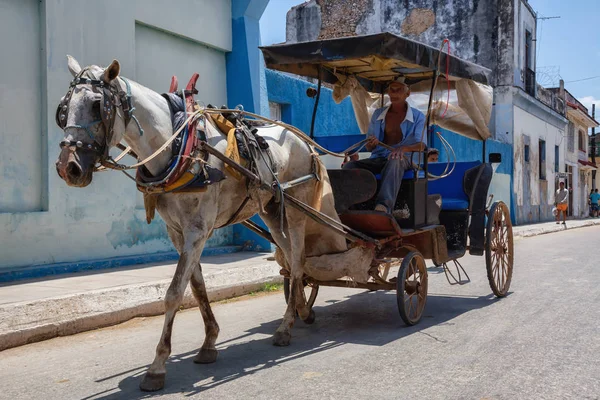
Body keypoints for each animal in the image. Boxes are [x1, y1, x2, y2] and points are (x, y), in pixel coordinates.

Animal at [55, 56, 350, 390]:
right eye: (63, 108)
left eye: (96, 105)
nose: (68, 167)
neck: (180, 147)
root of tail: (305, 142)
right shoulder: (178, 232)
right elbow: (196, 288)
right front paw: (209, 342)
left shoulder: (197, 231)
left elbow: (174, 293)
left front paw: (157, 366)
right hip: (273, 211)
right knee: (290, 260)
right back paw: (302, 309)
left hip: (297, 212)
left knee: (298, 262)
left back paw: (286, 327)